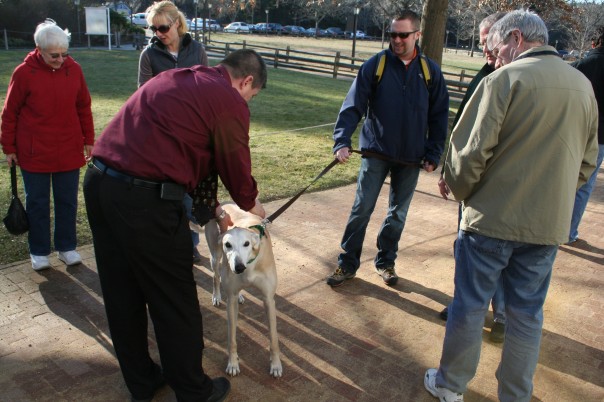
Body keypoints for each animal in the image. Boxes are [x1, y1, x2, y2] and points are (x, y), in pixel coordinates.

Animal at [204, 204, 282, 376]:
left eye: (246, 244)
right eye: (228, 245)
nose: (238, 268)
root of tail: (224, 203)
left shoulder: (268, 299)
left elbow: (273, 338)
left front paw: (276, 365)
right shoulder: (231, 301)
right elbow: (231, 339)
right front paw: (233, 364)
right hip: (215, 255)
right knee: (215, 275)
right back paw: (216, 296)